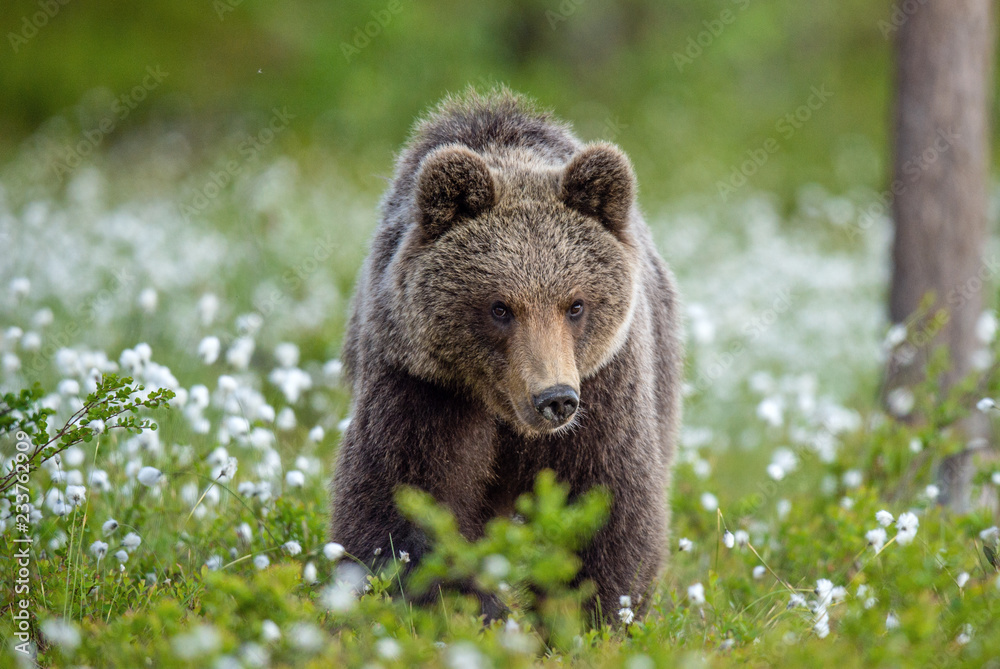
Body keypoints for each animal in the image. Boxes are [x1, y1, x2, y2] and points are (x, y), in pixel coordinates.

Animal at [331, 88, 683, 622]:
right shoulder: (423, 384)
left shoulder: (605, 386)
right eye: (500, 307)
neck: (506, 414)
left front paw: (591, 615)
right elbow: (401, 503)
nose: (554, 399)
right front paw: (472, 607)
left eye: (575, 304)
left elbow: (610, 506)